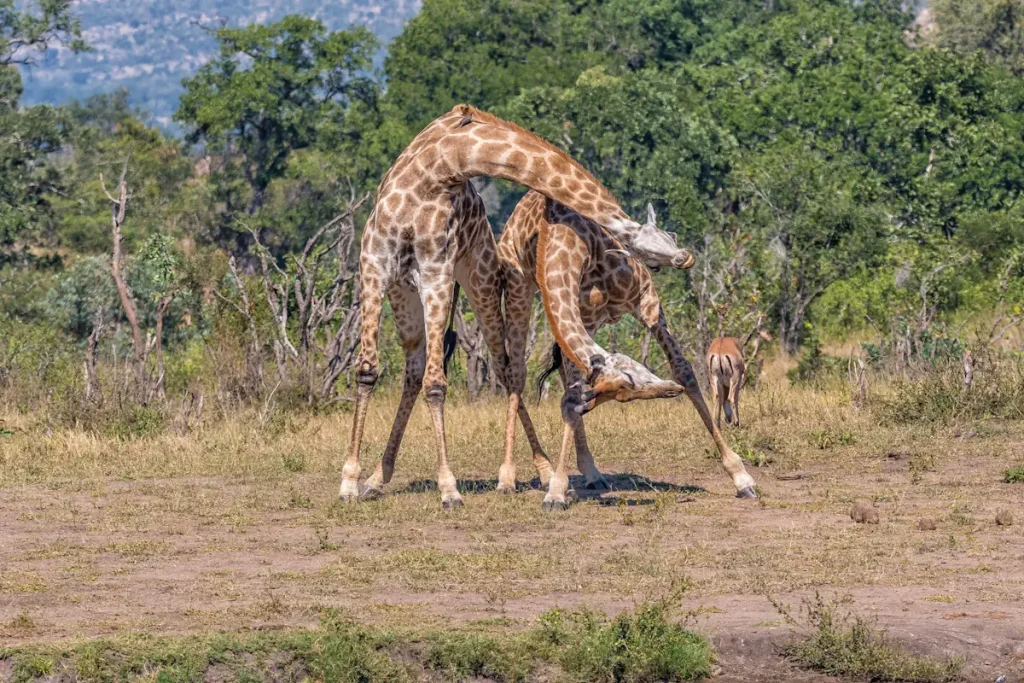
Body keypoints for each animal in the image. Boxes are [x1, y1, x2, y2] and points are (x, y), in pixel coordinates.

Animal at [340, 105, 689, 508]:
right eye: (631, 378)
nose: (685, 257)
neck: (439, 165)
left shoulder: (435, 272)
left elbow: (436, 383)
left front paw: (448, 488)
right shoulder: (373, 266)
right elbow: (368, 371)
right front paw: (350, 482)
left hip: (480, 283)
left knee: (502, 368)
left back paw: (541, 471)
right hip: (404, 292)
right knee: (415, 369)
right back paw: (378, 478)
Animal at [498, 191, 759, 510]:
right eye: (628, 384)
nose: (669, 390)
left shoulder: (646, 304)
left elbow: (685, 372)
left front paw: (741, 477)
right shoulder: (580, 316)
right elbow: (570, 397)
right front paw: (556, 491)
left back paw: (590, 474)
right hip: (519, 289)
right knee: (517, 376)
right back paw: (511, 478)